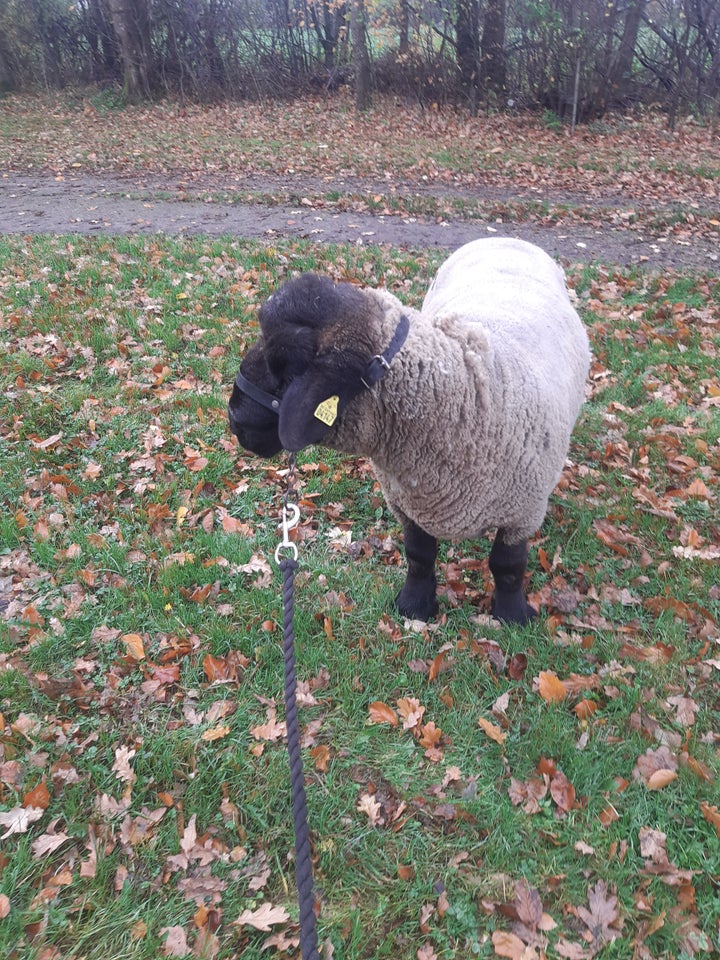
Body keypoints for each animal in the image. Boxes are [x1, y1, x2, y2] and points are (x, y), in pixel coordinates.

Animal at [229, 237, 592, 628]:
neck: (468, 395)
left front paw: (512, 616)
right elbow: (419, 555)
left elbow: (507, 565)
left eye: (287, 363)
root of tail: (505, 237)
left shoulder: (522, 511)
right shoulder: (408, 499)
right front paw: (415, 605)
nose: (233, 416)